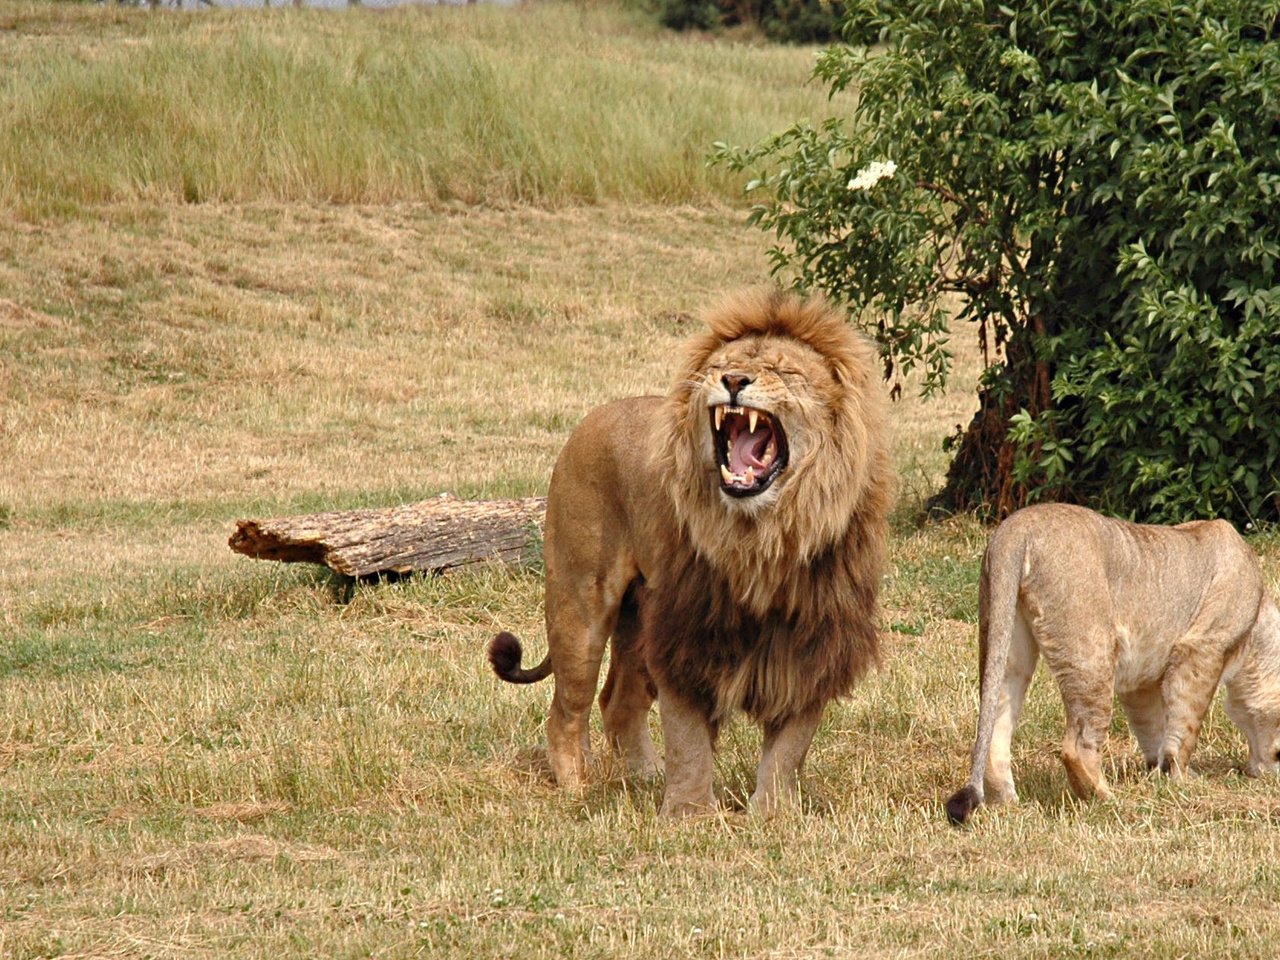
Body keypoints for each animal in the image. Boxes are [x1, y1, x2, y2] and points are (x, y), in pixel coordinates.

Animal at [486, 291, 890, 819]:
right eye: (721, 365)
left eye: (784, 370)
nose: (734, 381)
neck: (763, 538)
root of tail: (596, 415)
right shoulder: (686, 632)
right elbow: (689, 740)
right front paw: (689, 817)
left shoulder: (813, 641)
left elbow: (789, 747)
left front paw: (773, 816)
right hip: (580, 603)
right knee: (567, 709)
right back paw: (579, 787)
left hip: (638, 616)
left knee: (618, 701)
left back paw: (643, 775)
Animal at [947, 504, 1280, 829]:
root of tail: (1016, 528)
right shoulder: (1202, 648)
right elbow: (1184, 725)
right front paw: (1183, 782)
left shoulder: (1140, 679)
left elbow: (1153, 727)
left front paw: (1160, 776)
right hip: (1092, 649)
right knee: (1076, 745)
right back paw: (1108, 800)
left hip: (1004, 638)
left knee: (996, 725)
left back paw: (1010, 804)